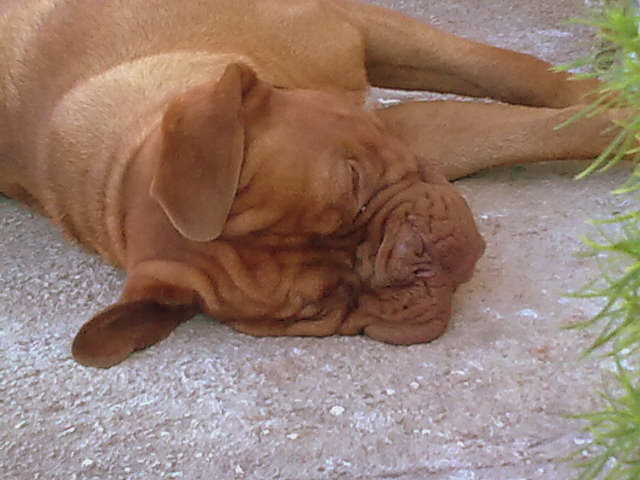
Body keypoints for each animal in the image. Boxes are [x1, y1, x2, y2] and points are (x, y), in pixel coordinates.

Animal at [0, 0, 620, 367]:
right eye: (329, 302)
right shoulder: (415, 131)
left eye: (354, 182)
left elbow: (510, 71)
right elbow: (527, 130)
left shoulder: (357, 26)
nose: (411, 260)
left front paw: (609, 97)